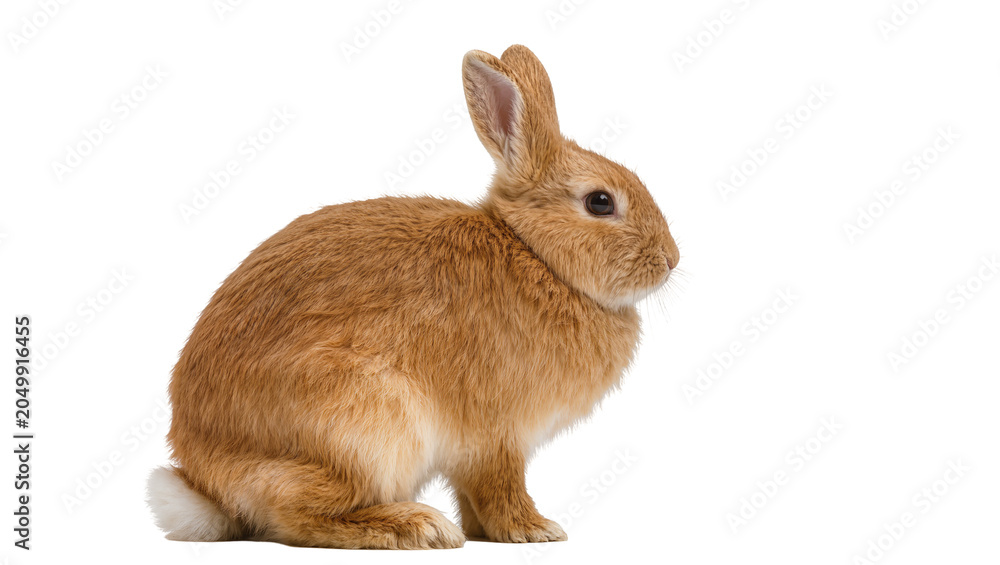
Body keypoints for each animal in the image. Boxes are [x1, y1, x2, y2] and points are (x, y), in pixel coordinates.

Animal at [147, 44, 679, 549]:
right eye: (600, 202)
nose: (671, 259)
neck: (536, 254)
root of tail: (208, 480)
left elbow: (472, 493)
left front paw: (486, 532)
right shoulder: (496, 436)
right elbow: (501, 486)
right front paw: (534, 530)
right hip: (362, 429)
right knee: (296, 513)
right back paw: (417, 528)